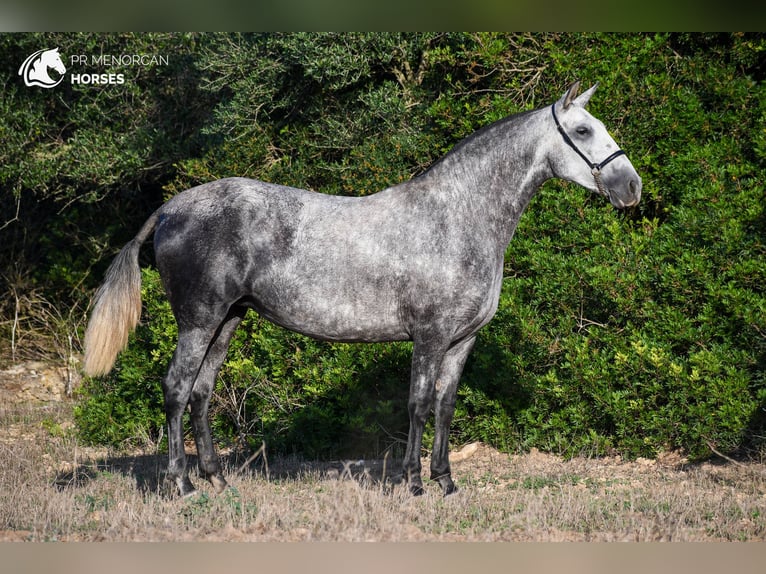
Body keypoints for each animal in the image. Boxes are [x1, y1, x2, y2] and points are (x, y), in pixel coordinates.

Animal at [82, 82, 640, 500]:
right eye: (583, 130)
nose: (630, 187)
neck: (456, 217)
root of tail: (169, 209)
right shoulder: (430, 337)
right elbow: (418, 404)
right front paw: (413, 484)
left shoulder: (462, 341)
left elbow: (445, 406)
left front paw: (446, 483)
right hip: (198, 320)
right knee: (176, 390)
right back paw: (181, 486)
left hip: (228, 320)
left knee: (201, 392)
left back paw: (217, 480)